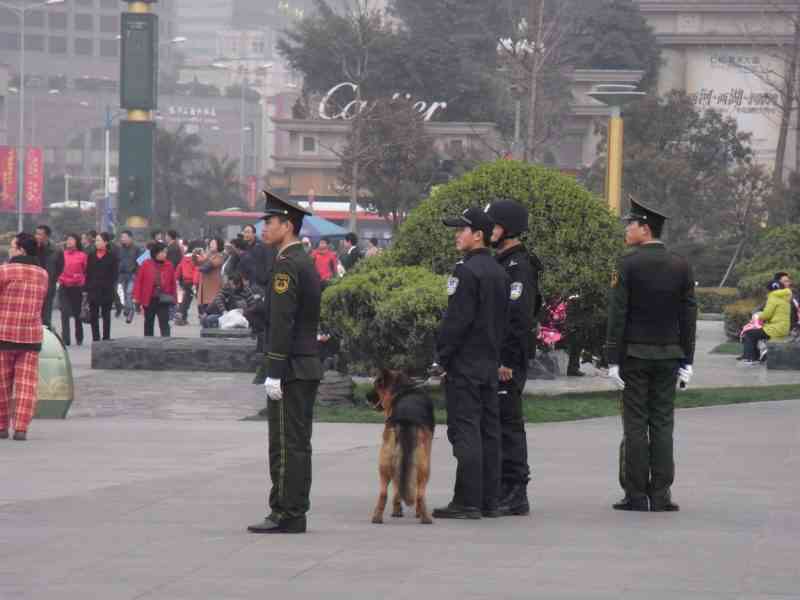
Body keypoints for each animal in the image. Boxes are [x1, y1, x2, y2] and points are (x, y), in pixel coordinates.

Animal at [370, 368, 434, 524]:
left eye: (376, 385)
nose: (367, 397)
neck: (403, 389)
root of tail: (406, 419)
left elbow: (397, 488)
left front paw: (396, 510)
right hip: (424, 467)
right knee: (420, 494)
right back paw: (424, 516)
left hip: (385, 464)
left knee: (383, 492)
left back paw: (377, 516)